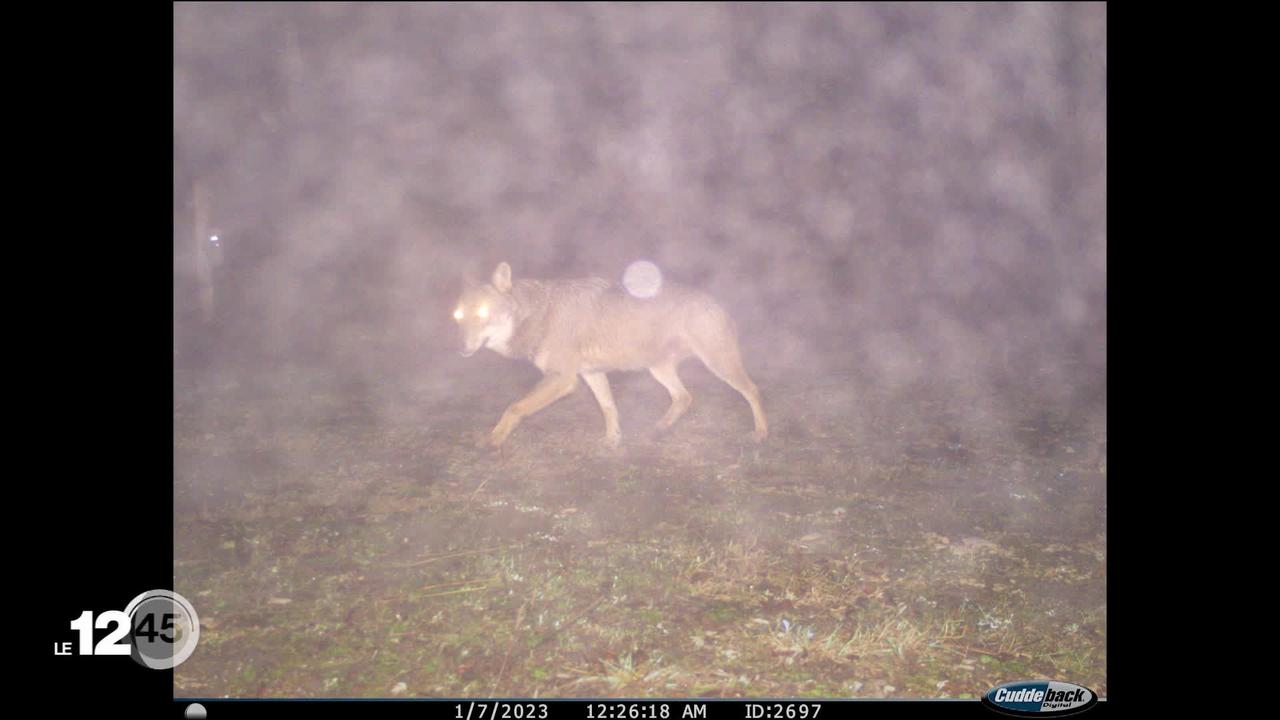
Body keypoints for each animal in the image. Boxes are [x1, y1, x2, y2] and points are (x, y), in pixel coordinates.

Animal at [455, 260, 762, 445]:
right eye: (458, 317)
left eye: (482, 314)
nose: (462, 349)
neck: (539, 314)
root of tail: (718, 304)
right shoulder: (591, 374)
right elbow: (608, 407)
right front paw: (612, 442)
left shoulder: (563, 379)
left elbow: (514, 407)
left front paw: (493, 440)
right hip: (658, 369)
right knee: (683, 397)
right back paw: (661, 427)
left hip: (719, 366)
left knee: (752, 390)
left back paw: (761, 433)